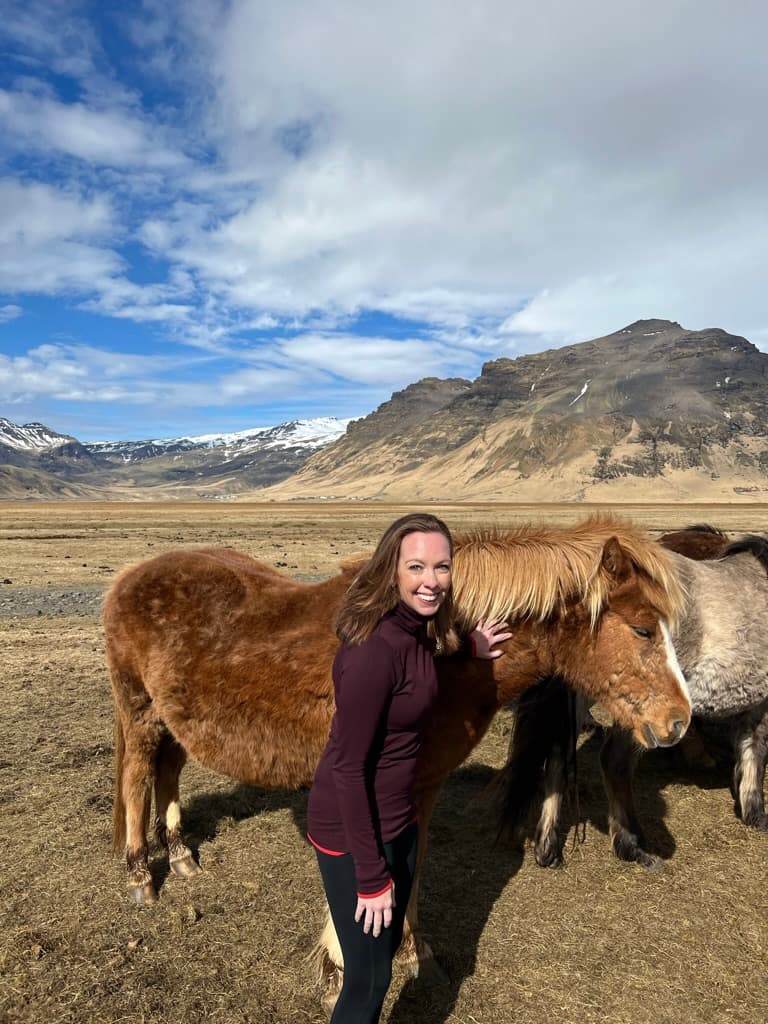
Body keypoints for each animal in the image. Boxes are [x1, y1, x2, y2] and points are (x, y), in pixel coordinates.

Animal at [105, 516, 690, 995]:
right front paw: (343, 961)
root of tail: (130, 576)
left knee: (168, 772)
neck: (442, 654)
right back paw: (139, 877)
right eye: (642, 628)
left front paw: (412, 952)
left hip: (174, 721)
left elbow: (414, 862)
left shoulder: (421, 786)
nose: (678, 721)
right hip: (138, 710)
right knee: (137, 775)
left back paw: (180, 854)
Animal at [497, 526, 768, 870]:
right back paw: (632, 844)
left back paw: (548, 848)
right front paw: (756, 813)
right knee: (614, 760)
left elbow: (750, 744)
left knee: (558, 756)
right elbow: (757, 749)